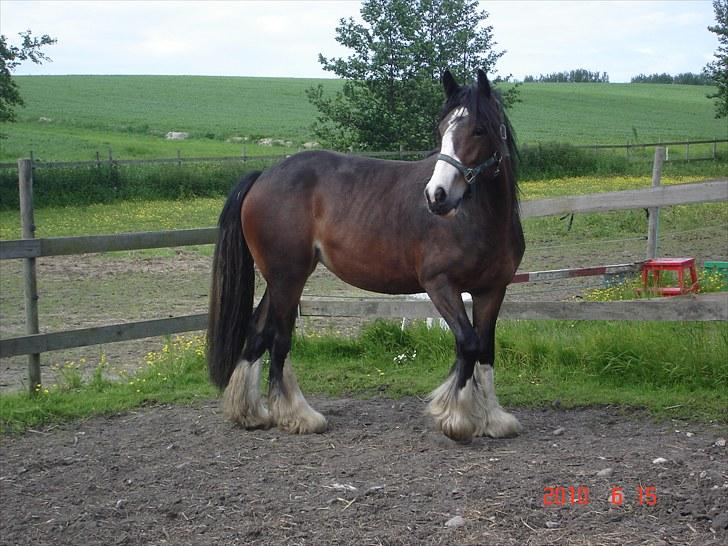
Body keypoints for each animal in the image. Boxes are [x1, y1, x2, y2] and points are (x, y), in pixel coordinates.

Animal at [208, 69, 528, 442]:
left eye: (478, 129)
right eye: (441, 129)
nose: (437, 196)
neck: (479, 217)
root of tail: (264, 176)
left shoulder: (492, 290)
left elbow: (487, 349)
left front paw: (492, 419)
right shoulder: (440, 285)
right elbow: (468, 343)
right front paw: (455, 418)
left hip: (280, 279)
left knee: (259, 331)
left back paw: (249, 412)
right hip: (288, 277)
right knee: (279, 337)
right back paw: (299, 415)